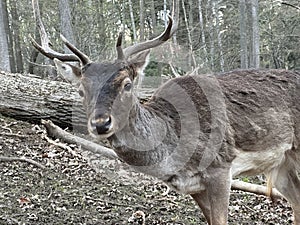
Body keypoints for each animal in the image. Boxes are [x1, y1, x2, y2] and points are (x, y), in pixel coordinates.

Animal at [31, 15, 300, 225]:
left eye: (127, 84)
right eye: (81, 90)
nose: (100, 123)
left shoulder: (221, 166)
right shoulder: (193, 186)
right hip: (281, 164)